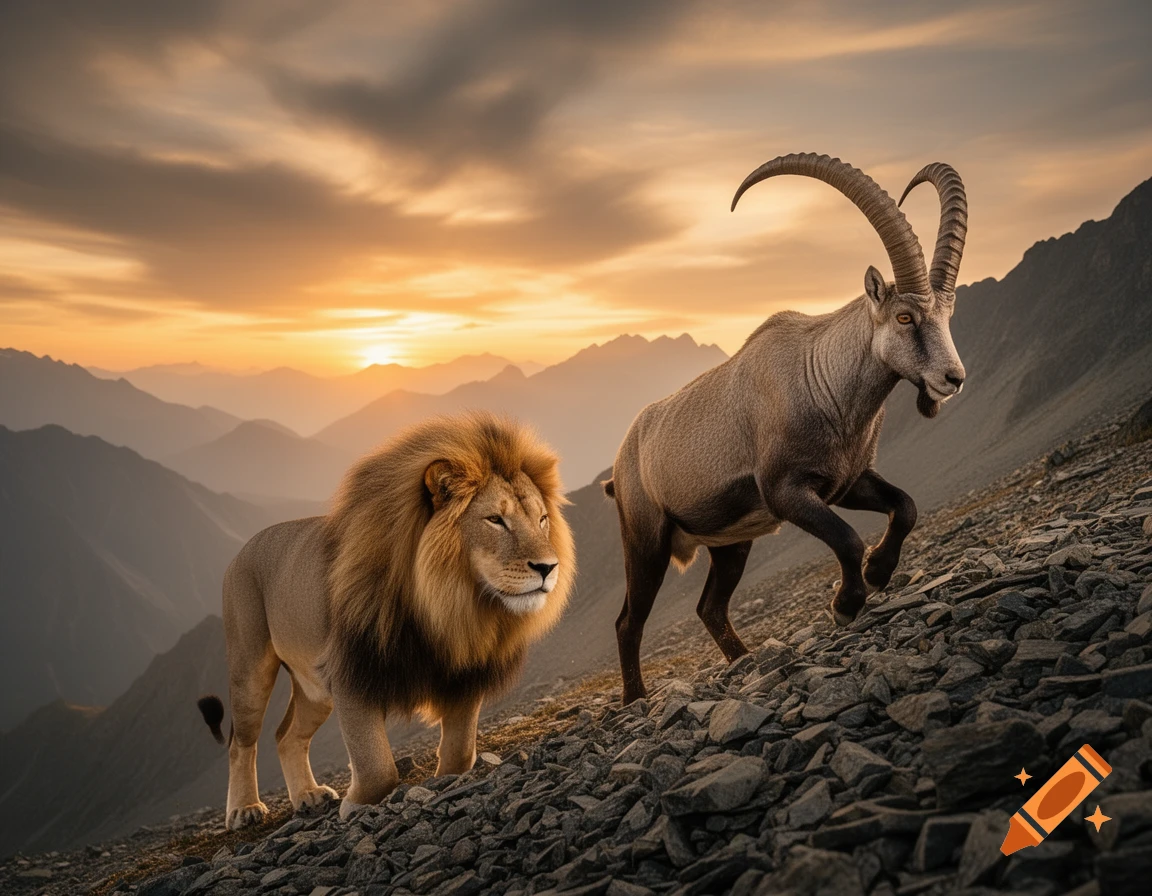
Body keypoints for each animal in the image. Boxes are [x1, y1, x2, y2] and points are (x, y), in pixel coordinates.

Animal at [196, 412, 574, 829]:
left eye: (542, 519)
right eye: (495, 519)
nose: (548, 567)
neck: (448, 606)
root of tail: (242, 549)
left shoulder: (464, 673)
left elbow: (460, 750)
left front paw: (446, 781)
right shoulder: (352, 671)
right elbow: (376, 765)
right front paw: (358, 805)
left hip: (314, 689)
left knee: (285, 735)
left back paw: (308, 795)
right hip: (250, 667)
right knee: (241, 742)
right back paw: (244, 809)